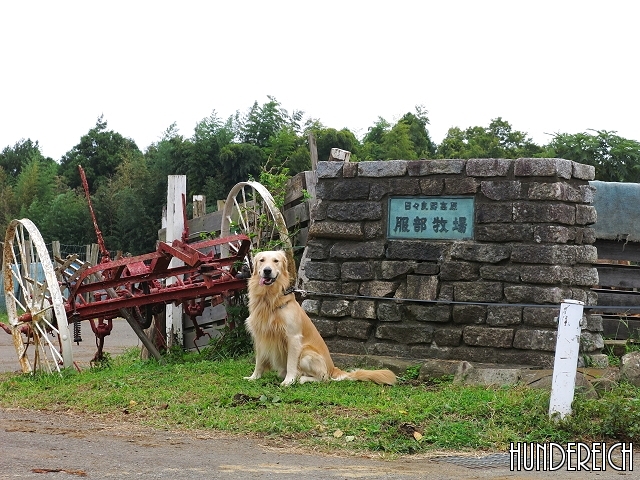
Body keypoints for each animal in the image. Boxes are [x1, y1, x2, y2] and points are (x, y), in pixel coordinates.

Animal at [245, 251, 396, 386]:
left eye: (276, 261)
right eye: (262, 260)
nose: (267, 271)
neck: (270, 298)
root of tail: (333, 368)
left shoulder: (293, 337)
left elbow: (291, 363)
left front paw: (289, 381)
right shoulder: (260, 335)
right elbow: (259, 361)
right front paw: (254, 377)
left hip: (306, 353)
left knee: (324, 378)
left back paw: (302, 379)